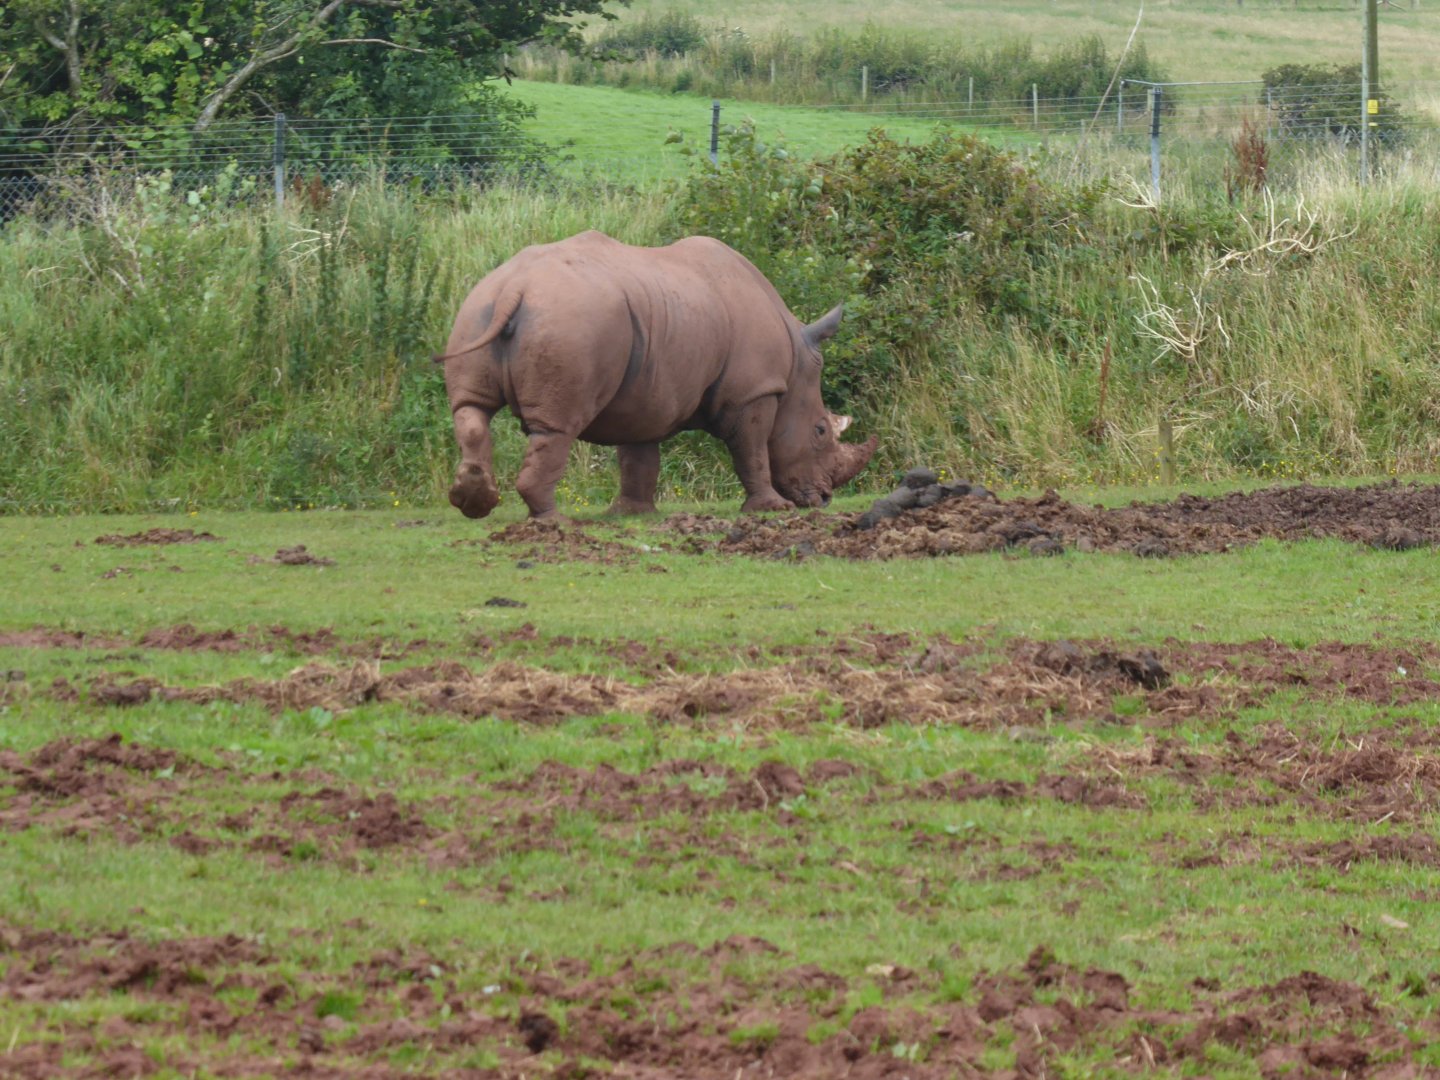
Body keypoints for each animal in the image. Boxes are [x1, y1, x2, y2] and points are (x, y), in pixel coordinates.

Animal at [435, 230, 877, 519]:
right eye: (820, 431)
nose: (824, 500)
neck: (794, 359)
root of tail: (517, 287)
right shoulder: (754, 391)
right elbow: (751, 449)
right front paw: (772, 509)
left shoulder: (645, 393)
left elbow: (639, 455)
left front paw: (632, 515)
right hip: (572, 322)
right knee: (557, 427)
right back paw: (552, 521)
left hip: (478, 306)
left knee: (471, 408)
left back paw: (473, 502)